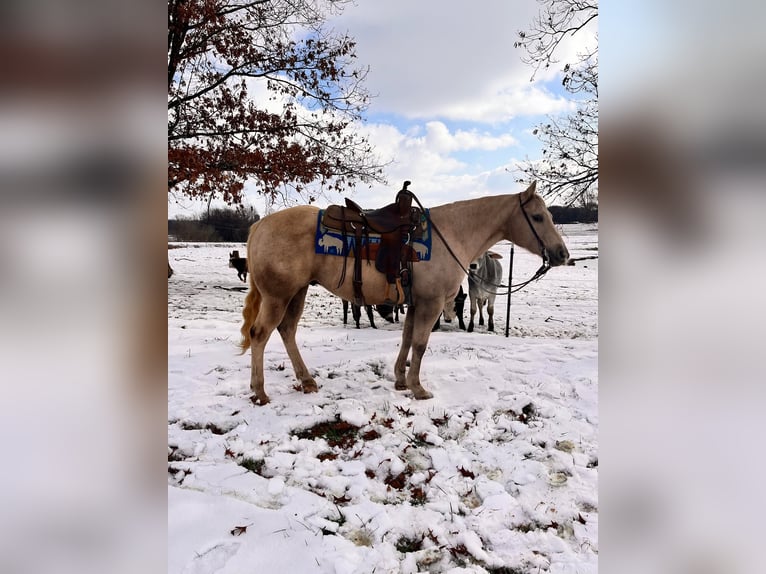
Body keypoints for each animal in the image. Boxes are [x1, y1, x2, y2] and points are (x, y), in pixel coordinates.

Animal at [239, 181, 569, 405]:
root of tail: (259, 225)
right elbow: (420, 344)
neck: (451, 233)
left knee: (287, 331)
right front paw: (418, 388)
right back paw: (260, 391)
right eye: (537, 217)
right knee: (260, 334)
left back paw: (306, 381)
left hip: (297, 293)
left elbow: (407, 338)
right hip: (278, 296)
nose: (562, 254)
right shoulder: (430, 304)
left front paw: (399, 380)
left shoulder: (414, 303)